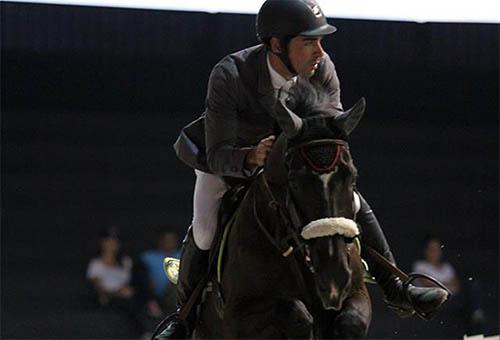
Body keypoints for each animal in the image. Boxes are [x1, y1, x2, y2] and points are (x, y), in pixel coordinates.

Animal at [195, 83, 372, 340]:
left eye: (352, 177)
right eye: (294, 183)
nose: (334, 279)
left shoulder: (357, 293)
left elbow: (352, 321)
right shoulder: (238, 314)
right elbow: (297, 315)